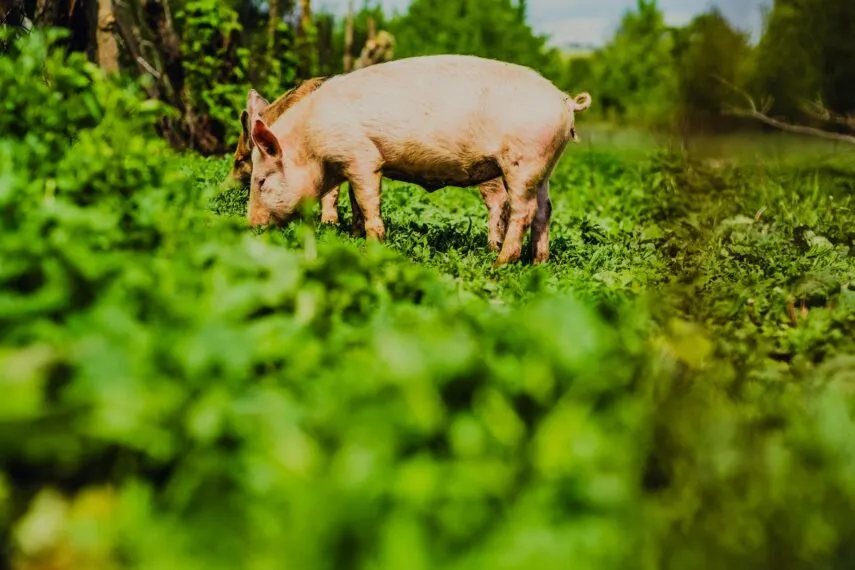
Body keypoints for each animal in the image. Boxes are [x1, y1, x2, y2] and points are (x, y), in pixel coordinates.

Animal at [246, 54, 591, 265]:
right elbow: (356, 202)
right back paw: (538, 262)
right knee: (545, 209)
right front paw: (353, 235)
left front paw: (373, 244)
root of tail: (566, 101)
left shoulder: (361, 156)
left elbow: (367, 200)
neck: (312, 146)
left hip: (523, 161)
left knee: (523, 209)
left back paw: (500, 263)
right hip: (544, 167)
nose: (249, 225)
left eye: (261, 180)